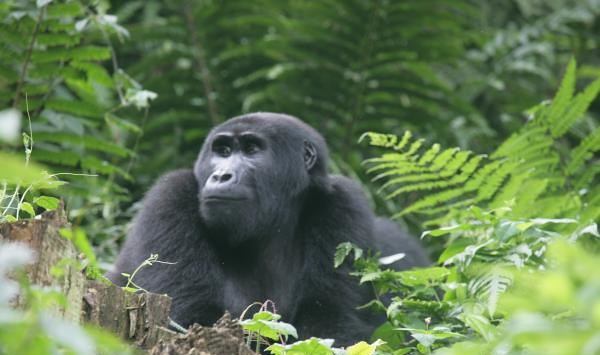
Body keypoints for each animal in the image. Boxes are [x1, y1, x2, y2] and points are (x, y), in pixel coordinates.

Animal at [106, 113, 426, 344]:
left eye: (251, 150)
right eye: (222, 151)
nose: (221, 176)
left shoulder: (343, 205)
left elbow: (332, 323)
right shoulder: (168, 199)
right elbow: (188, 317)